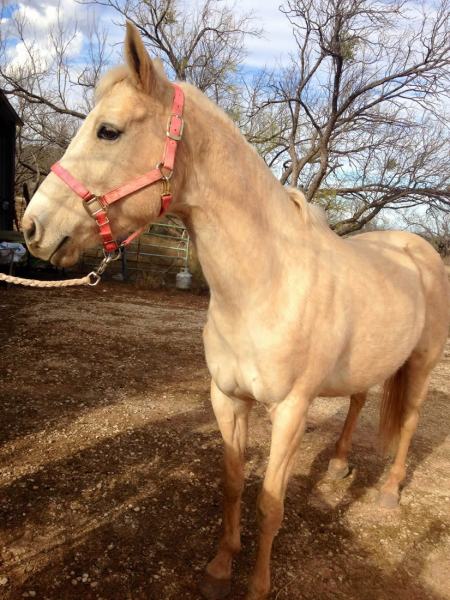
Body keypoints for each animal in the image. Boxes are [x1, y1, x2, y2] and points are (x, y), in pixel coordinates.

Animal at [22, 22, 448, 600]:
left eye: (108, 131)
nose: (32, 227)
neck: (265, 286)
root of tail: (418, 248)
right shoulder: (227, 399)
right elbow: (231, 483)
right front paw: (221, 567)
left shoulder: (289, 411)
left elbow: (270, 502)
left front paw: (258, 585)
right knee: (360, 400)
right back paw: (338, 466)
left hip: (422, 364)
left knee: (407, 421)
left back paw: (388, 492)